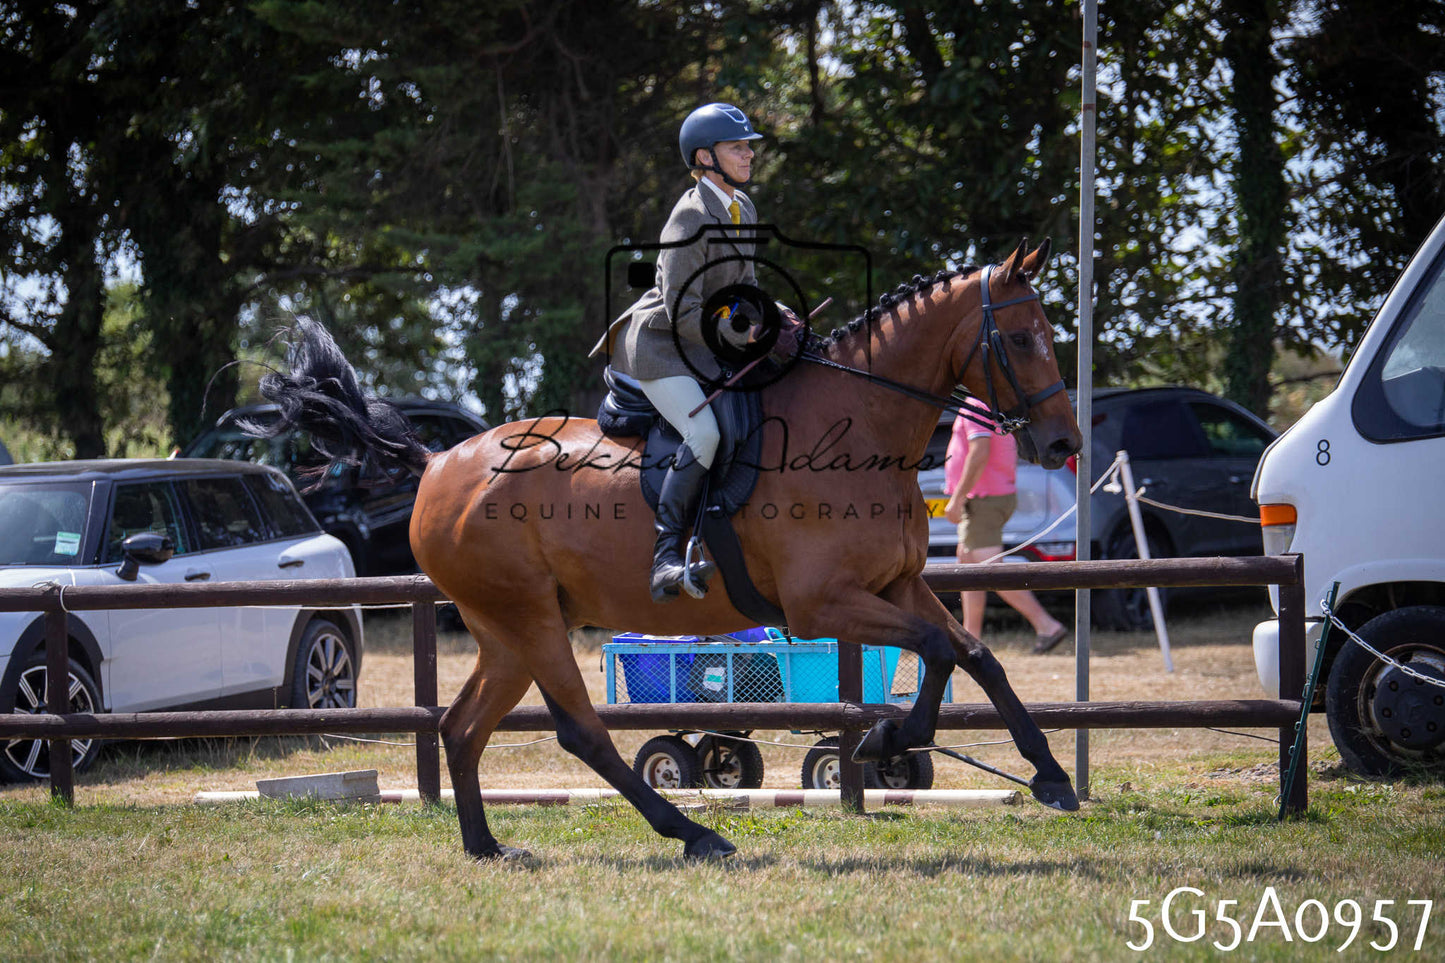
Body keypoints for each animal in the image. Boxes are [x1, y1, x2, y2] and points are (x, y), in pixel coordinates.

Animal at [256, 239, 1083, 860]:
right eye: (1018, 339)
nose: (1064, 444)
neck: (859, 426)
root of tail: (435, 465)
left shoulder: (899, 584)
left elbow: (975, 655)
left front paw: (1048, 775)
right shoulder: (822, 604)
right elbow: (938, 653)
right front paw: (886, 734)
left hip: (505, 630)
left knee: (461, 727)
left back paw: (486, 844)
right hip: (529, 620)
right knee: (581, 731)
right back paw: (692, 831)